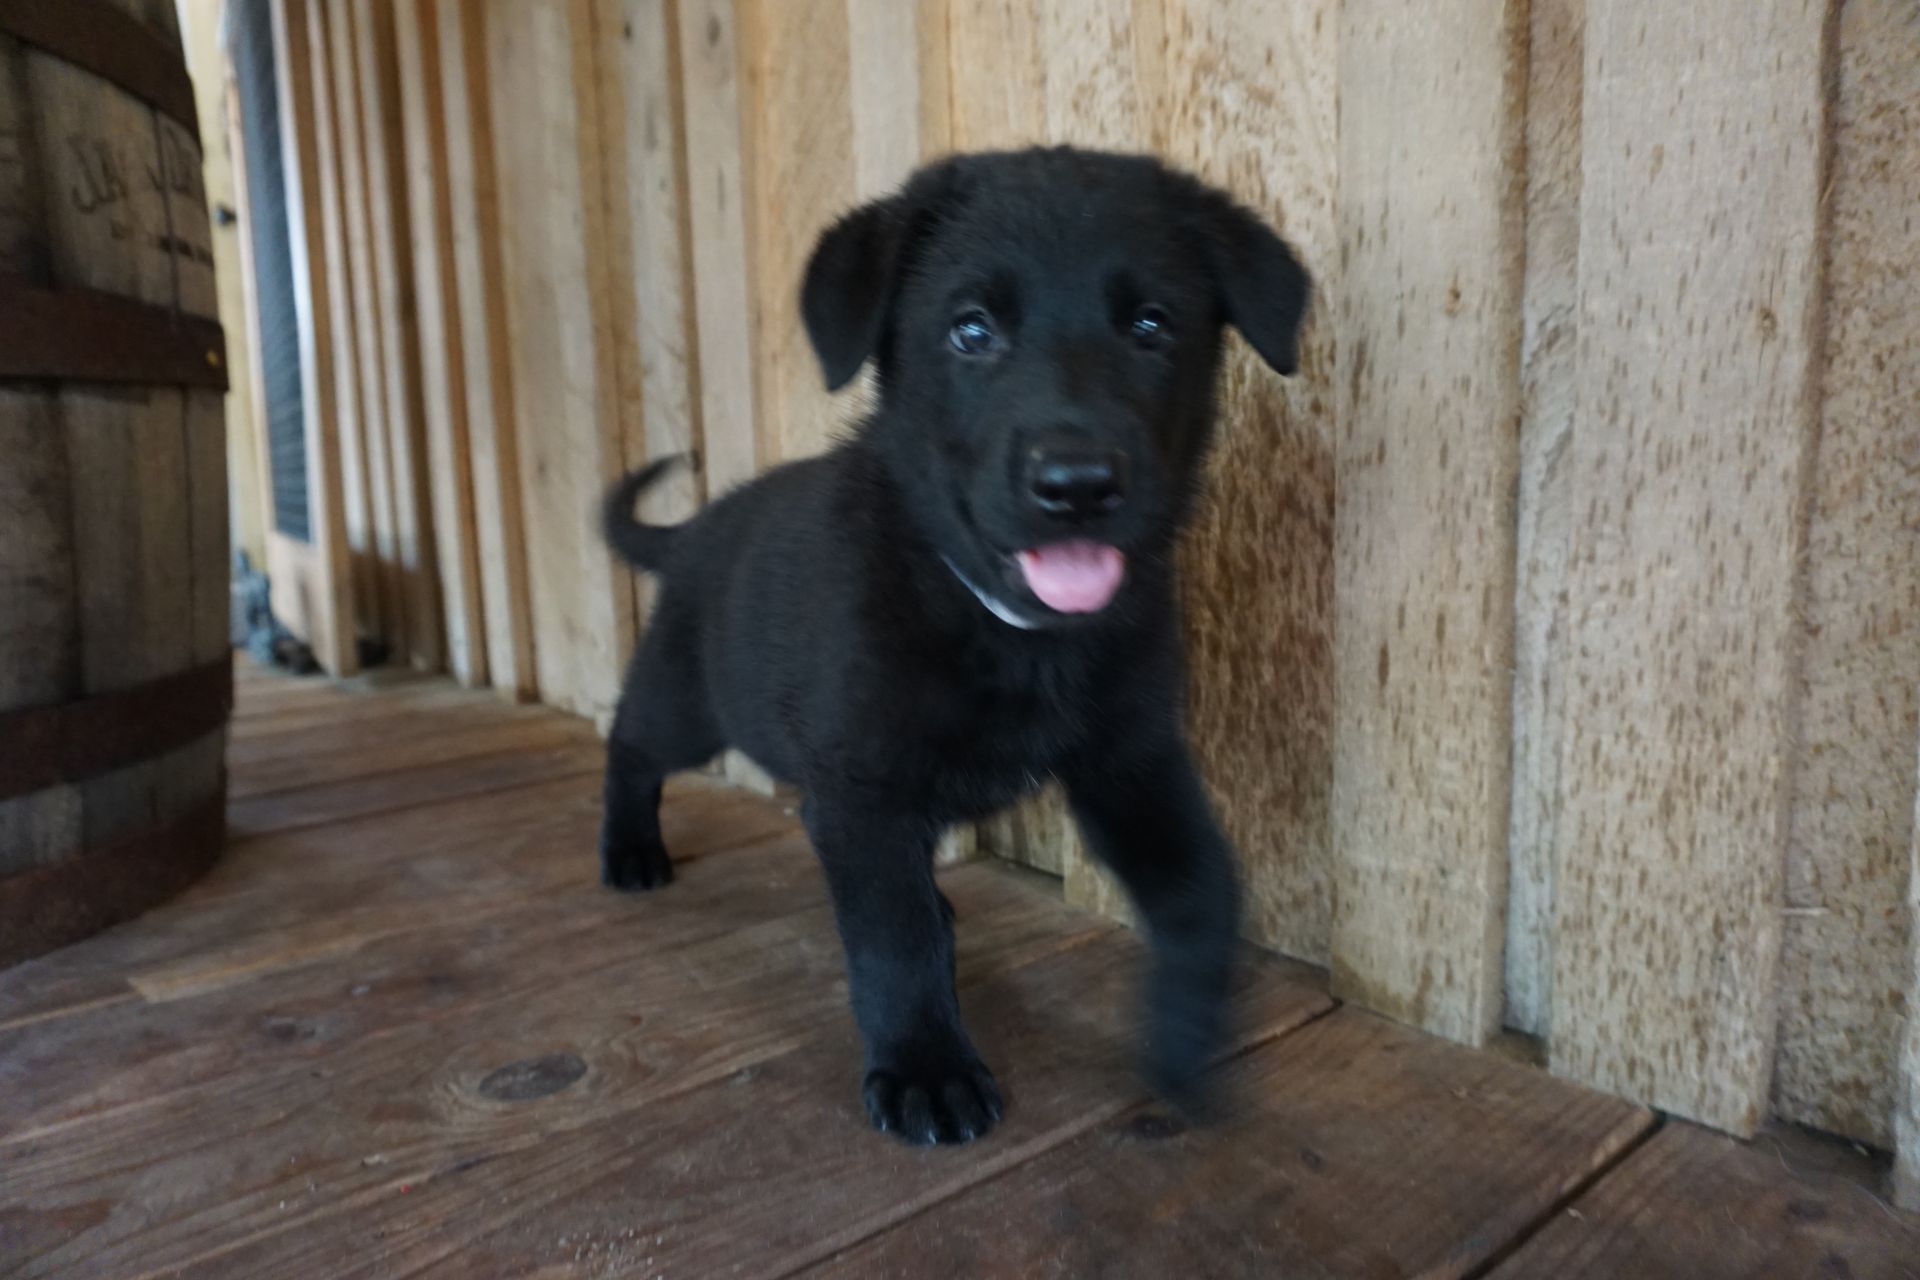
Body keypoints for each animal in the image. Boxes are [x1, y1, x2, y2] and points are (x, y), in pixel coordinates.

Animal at [602, 144, 1305, 1143]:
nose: (1078, 484)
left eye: (1151, 326)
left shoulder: (1131, 759)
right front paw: (925, 1069)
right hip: (691, 702)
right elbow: (893, 938)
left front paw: (1185, 1041)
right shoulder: (861, 790)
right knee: (630, 738)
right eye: (972, 332)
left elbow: (1202, 888)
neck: (1009, 632)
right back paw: (628, 851)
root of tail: (699, 526)